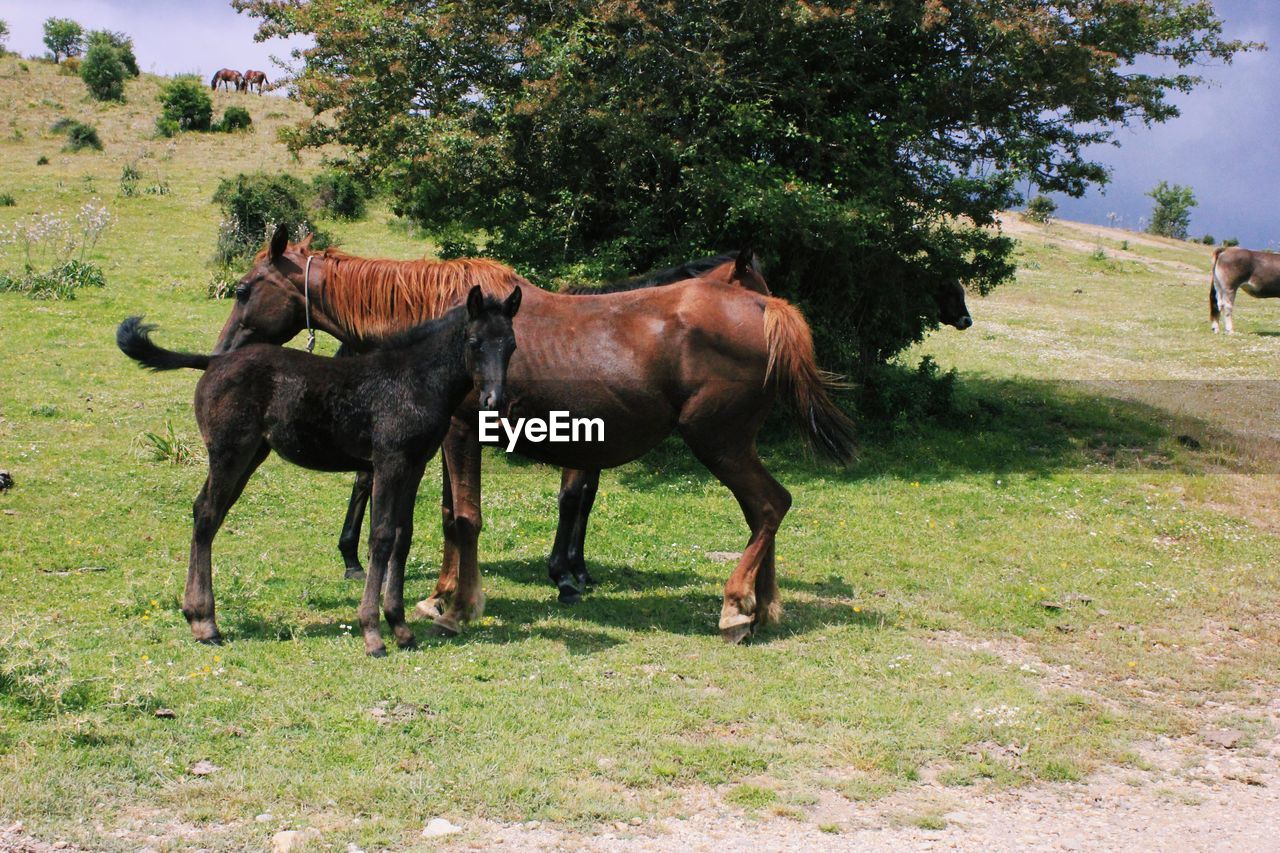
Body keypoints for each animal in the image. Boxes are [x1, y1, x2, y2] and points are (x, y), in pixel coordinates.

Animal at [116, 251, 519, 650]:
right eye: (474, 342)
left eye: (512, 345)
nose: (493, 401)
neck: (414, 379)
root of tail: (214, 360)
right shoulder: (389, 462)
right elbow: (381, 536)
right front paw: (373, 633)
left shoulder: (414, 464)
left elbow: (402, 537)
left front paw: (401, 629)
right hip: (229, 452)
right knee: (206, 514)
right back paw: (205, 623)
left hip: (250, 454)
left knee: (210, 513)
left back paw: (198, 616)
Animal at [209, 225, 855, 637]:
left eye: (243, 290)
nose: (221, 353)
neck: (445, 325)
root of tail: (769, 315)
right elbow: (450, 517)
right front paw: (443, 595)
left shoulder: (462, 433)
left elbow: (464, 519)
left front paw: (458, 608)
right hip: (731, 446)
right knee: (763, 512)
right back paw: (760, 606)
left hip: (719, 443)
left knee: (769, 505)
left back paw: (736, 607)